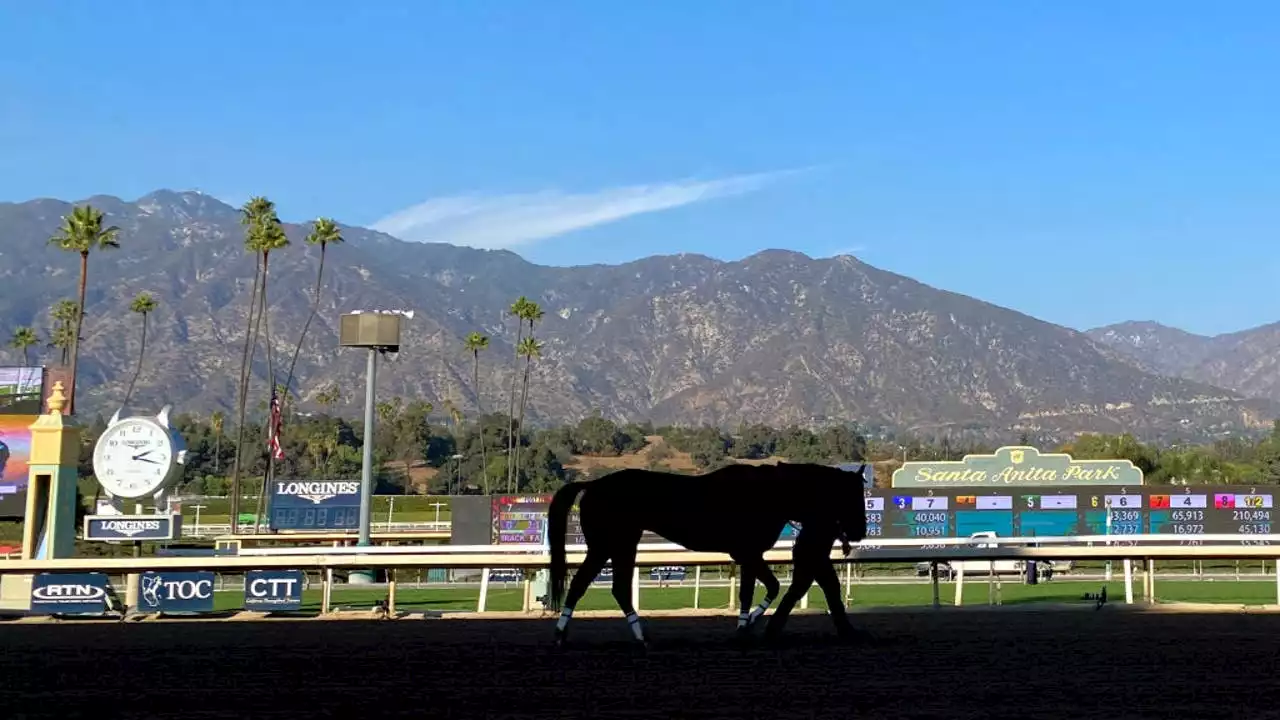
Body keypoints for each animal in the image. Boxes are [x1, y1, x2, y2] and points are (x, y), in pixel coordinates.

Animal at [545, 461, 865, 640]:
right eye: (853, 496)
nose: (860, 531)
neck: (768, 493)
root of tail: (593, 484)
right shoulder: (748, 552)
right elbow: (766, 588)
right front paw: (746, 626)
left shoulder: (747, 555)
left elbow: (757, 590)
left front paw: (745, 627)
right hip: (612, 544)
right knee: (597, 585)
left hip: (614, 545)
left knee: (601, 587)